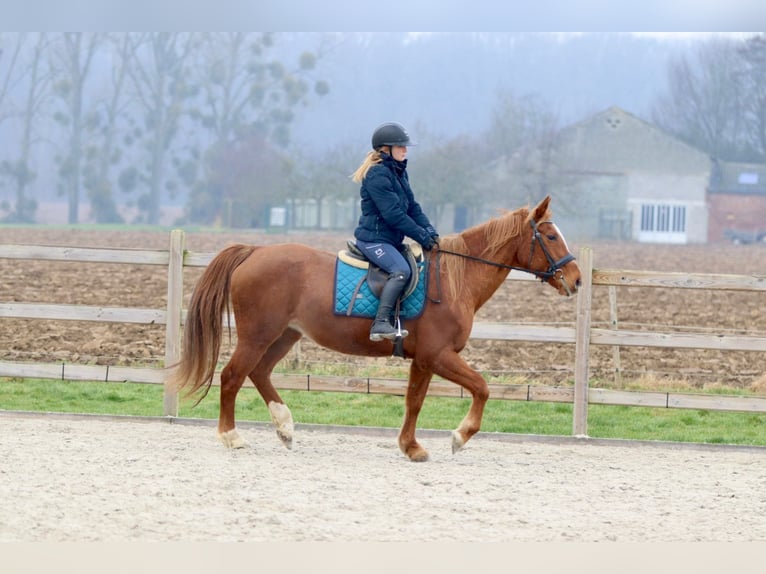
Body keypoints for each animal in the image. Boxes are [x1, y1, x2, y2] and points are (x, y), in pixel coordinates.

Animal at [170, 195, 581, 462]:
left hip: (284, 335)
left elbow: (414, 401)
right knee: (232, 376)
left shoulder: (423, 359)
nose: (576, 280)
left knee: (259, 373)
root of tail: (255, 251)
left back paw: (285, 428)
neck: (455, 280)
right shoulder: (438, 355)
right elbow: (481, 388)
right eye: (550, 236)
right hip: (258, 334)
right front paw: (458, 437)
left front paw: (411, 447)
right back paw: (232, 436)